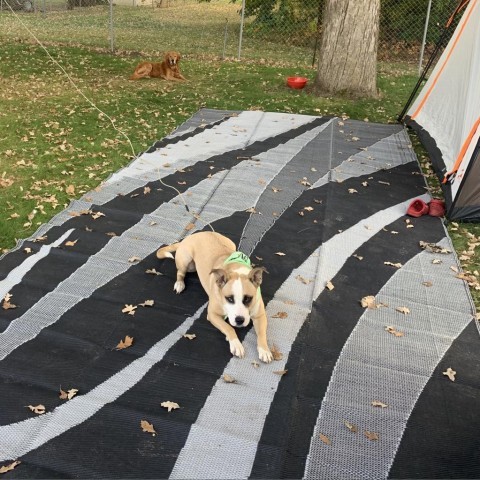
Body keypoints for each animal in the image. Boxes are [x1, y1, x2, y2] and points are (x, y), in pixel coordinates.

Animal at [157, 231, 272, 362]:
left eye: (248, 298)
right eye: (229, 298)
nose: (239, 320)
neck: (236, 270)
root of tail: (193, 235)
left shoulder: (260, 315)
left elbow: (262, 333)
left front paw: (265, 350)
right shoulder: (212, 315)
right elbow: (229, 328)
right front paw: (236, 344)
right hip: (186, 262)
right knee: (180, 273)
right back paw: (180, 284)